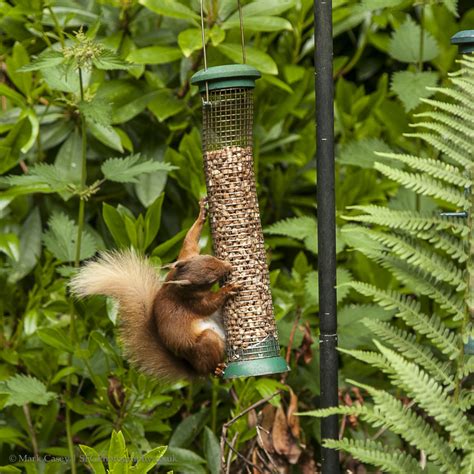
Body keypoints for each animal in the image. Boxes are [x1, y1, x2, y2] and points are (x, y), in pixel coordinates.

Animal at [69, 199, 237, 382]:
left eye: (210, 257)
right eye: (210, 281)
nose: (229, 266)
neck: (178, 287)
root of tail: (194, 370)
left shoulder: (185, 257)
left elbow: (189, 242)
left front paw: (201, 213)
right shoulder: (191, 302)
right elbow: (208, 305)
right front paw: (228, 288)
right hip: (207, 344)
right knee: (210, 365)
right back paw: (217, 369)